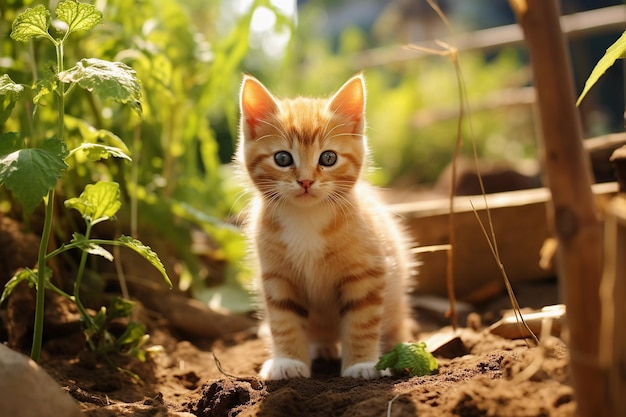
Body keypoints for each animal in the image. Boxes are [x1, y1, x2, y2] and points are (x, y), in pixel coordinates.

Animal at [236, 73, 412, 378]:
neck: (306, 218)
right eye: (282, 158)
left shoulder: (368, 272)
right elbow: (283, 320)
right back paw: (321, 347)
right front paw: (288, 361)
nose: (306, 181)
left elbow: (362, 321)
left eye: (328, 158)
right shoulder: (277, 277)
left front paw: (362, 364)